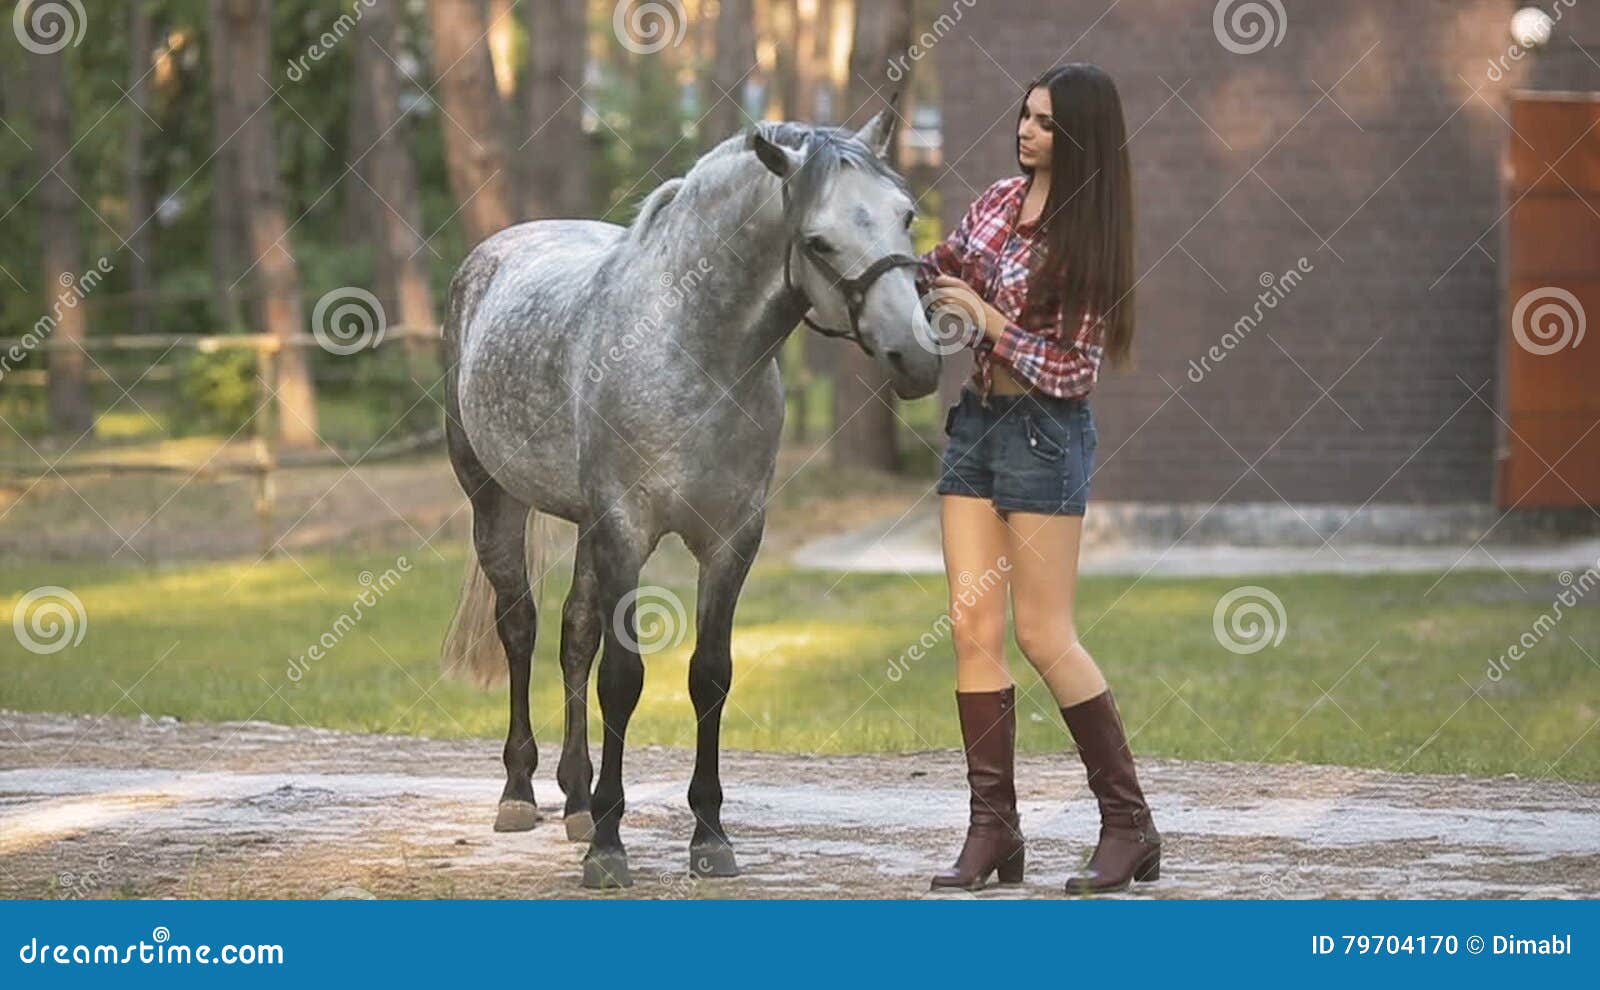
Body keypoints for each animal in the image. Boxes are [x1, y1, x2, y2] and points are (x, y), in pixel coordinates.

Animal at [441, 110, 934, 889]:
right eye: (817, 241)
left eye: (905, 216)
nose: (914, 359)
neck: (694, 353)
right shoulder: (625, 530)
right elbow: (623, 678)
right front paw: (609, 850)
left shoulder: (732, 540)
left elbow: (709, 676)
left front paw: (707, 835)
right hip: (495, 500)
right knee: (519, 628)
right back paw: (520, 794)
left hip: (582, 527)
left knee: (572, 635)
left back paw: (576, 801)